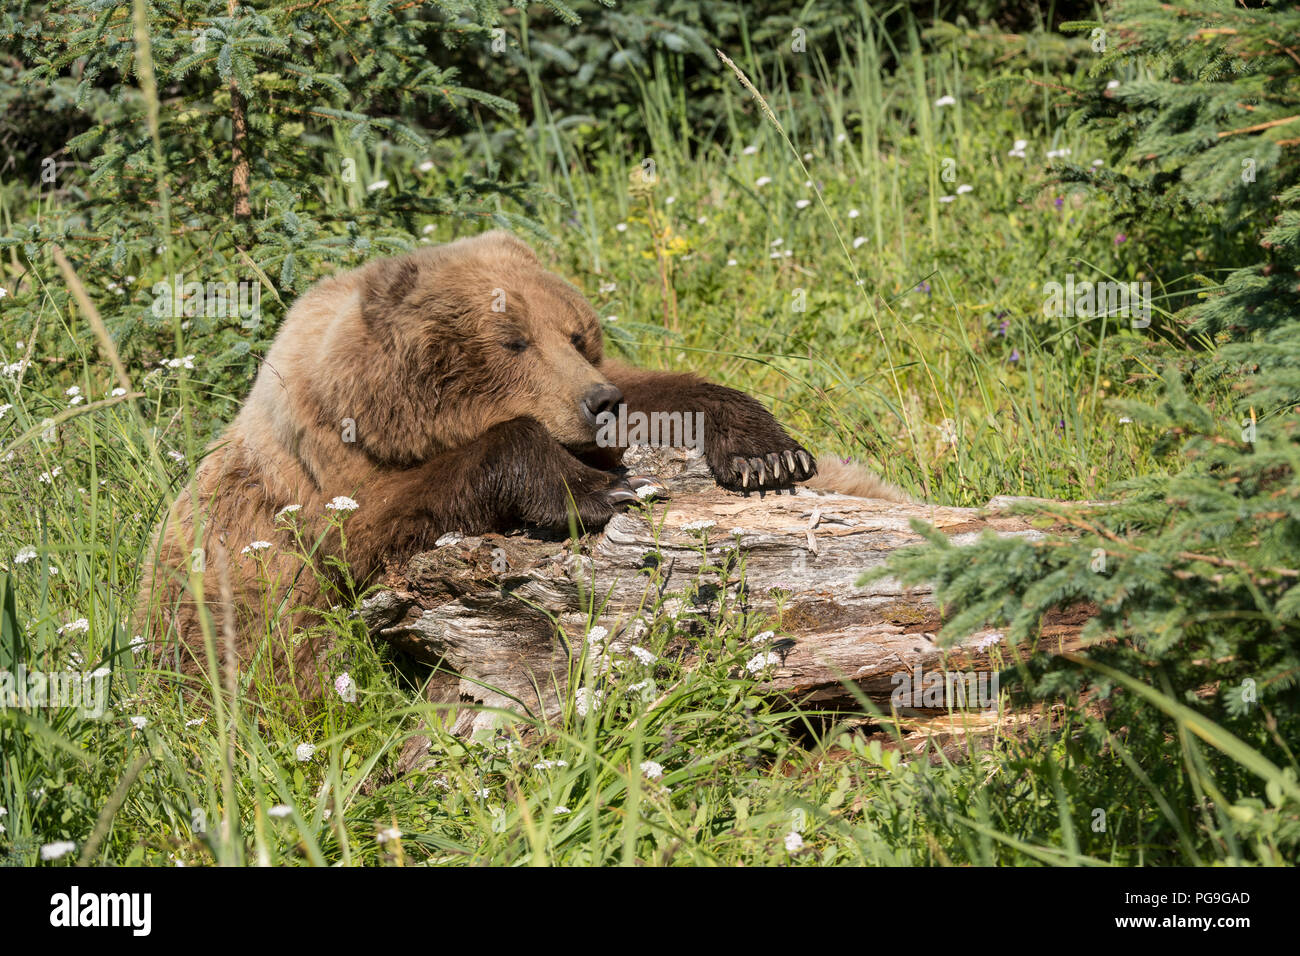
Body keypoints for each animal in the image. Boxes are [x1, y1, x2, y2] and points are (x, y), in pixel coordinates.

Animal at [137, 232, 899, 697]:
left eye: (577, 335)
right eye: (511, 339)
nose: (598, 401)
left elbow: (669, 394)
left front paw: (766, 453)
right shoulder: (324, 489)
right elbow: (382, 530)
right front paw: (598, 492)